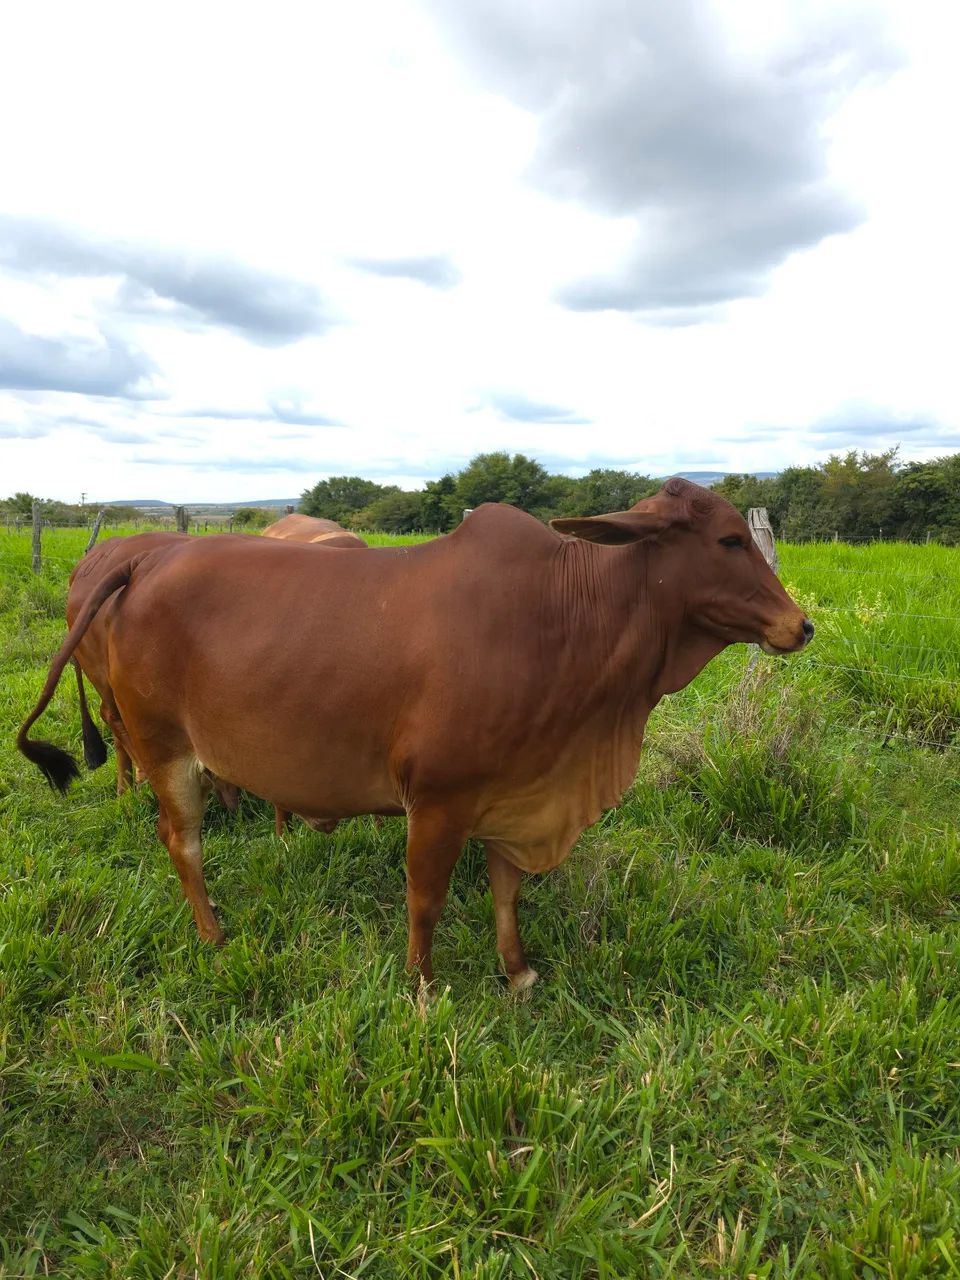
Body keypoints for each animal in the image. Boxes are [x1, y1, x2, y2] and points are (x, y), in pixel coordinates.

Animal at [18, 480, 812, 990]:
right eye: (728, 539)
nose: (799, 625)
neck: (563, 617)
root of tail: (144, 556)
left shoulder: (514, 791)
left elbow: (506, 892)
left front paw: (517, 973)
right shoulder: (438, 801)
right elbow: (425, 899)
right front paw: (424, 988)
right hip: (162, 746)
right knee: (181, 840)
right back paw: (213, 934)